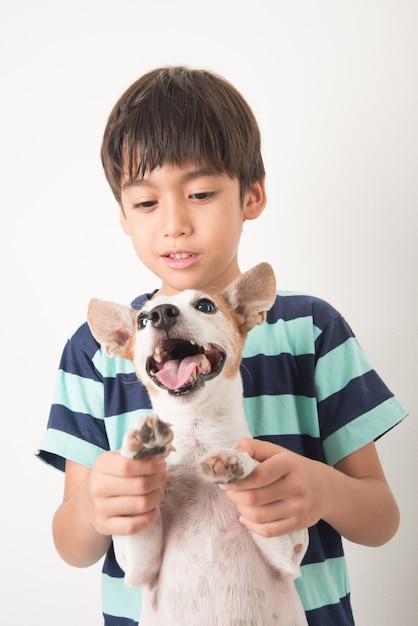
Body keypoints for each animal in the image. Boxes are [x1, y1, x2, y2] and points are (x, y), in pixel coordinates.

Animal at [86, 264, 308, 624]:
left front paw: (236, 460)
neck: (197, 432)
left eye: (205, 305)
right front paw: (139, 448)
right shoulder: (139, 565)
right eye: (142, 320)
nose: (161, 313)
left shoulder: (288, 557)